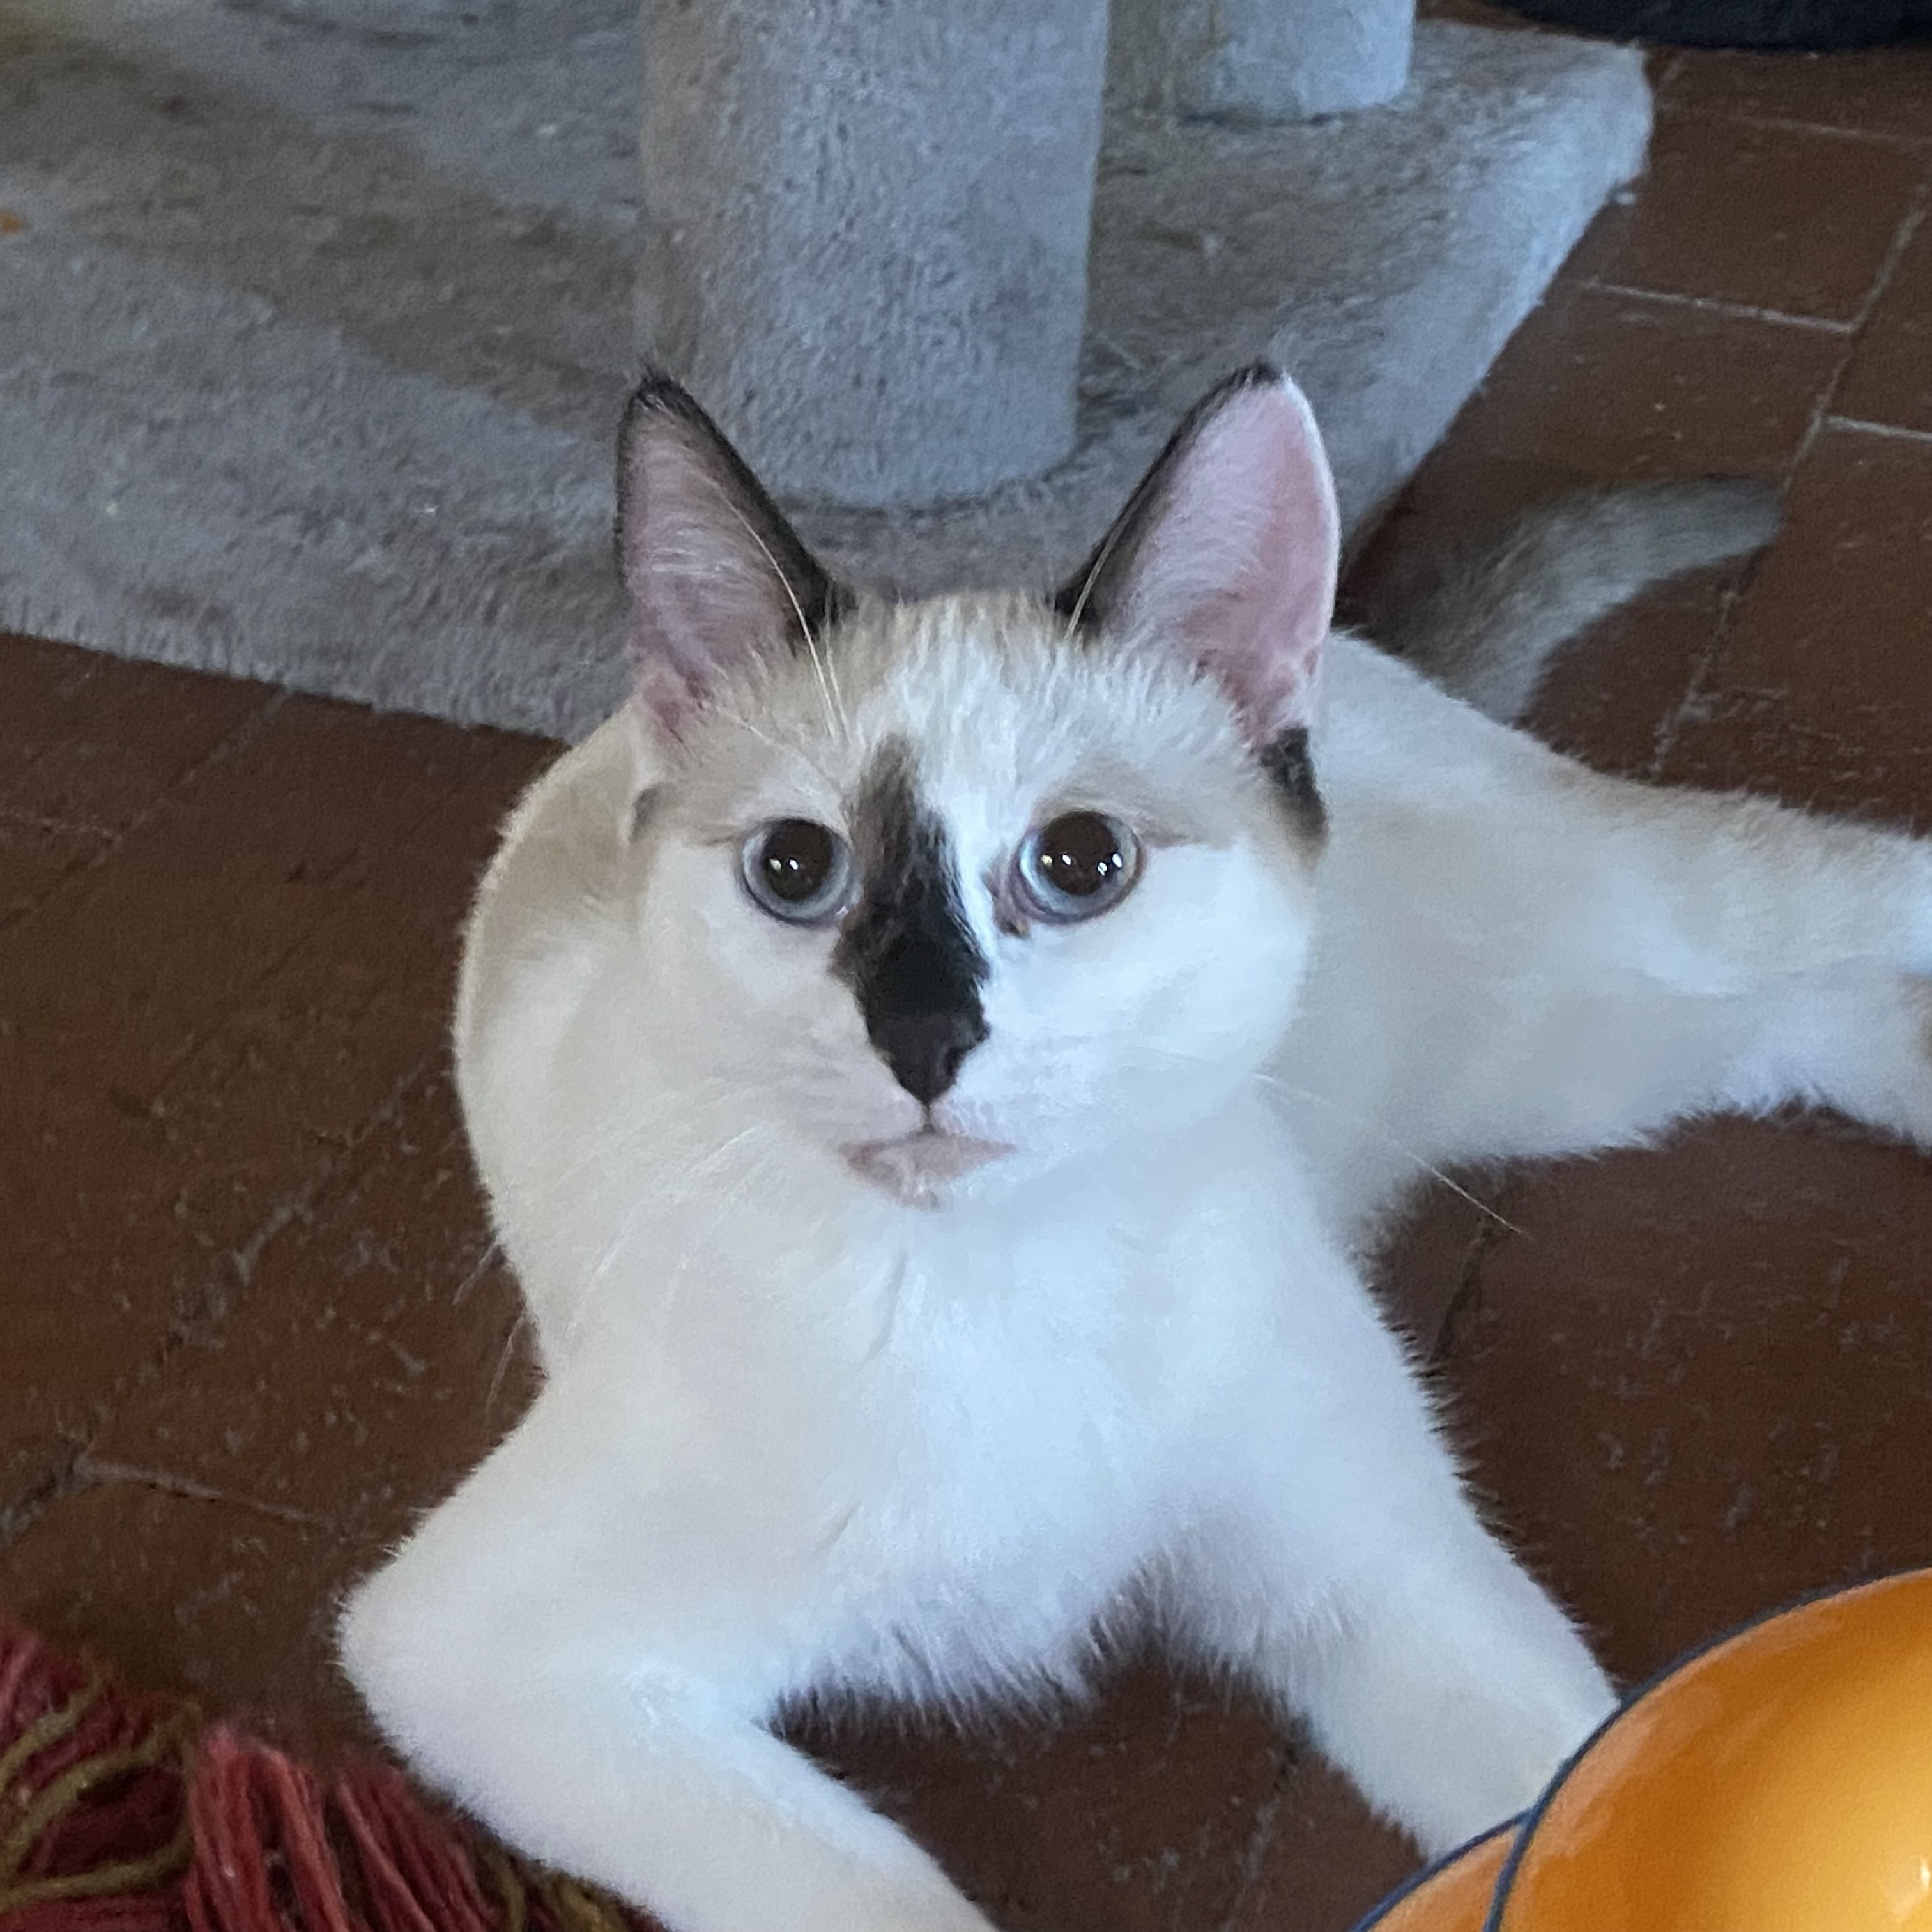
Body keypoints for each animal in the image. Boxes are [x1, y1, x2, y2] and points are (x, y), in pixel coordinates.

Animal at [340, 365, 1932, 1932]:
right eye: (795, 871)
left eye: (1079, 863)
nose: (925, 1036)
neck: (998, 1283)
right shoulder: (490, 1662)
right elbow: (885, 1899)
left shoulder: (1386, 1575)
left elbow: (1568, 1816)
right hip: (1571, 1065)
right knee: (1786, 1025)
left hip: (1640, 924)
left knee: (1861, 892)